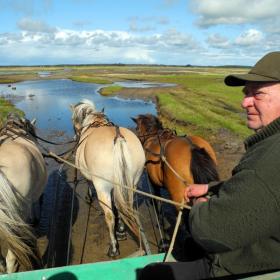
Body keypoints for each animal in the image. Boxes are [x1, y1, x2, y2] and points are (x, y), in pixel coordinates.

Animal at [70, 99, 145, 258]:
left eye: (74, 120)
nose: (75, 137)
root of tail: (119, 139)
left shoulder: (91, 179)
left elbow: (89, 185)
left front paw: (88, 196)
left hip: (102, 187)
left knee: (109, 216)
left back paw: (113, 247)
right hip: (131, 183)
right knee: (124, 206)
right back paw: (121, 231)